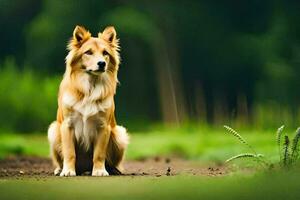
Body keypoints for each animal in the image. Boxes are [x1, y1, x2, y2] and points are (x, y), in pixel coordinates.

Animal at [47, 25, 129, 177]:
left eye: (105, 53)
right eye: (88, 52)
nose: (102, 63)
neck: (90, 87)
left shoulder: (103, 127)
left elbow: (99, 154)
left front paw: (99, 170)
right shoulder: (67, 125)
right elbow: (69, 153)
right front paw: (68, 170)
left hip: (120, 135)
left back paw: (111, 170)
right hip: (53, 131)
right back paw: (60, 168)